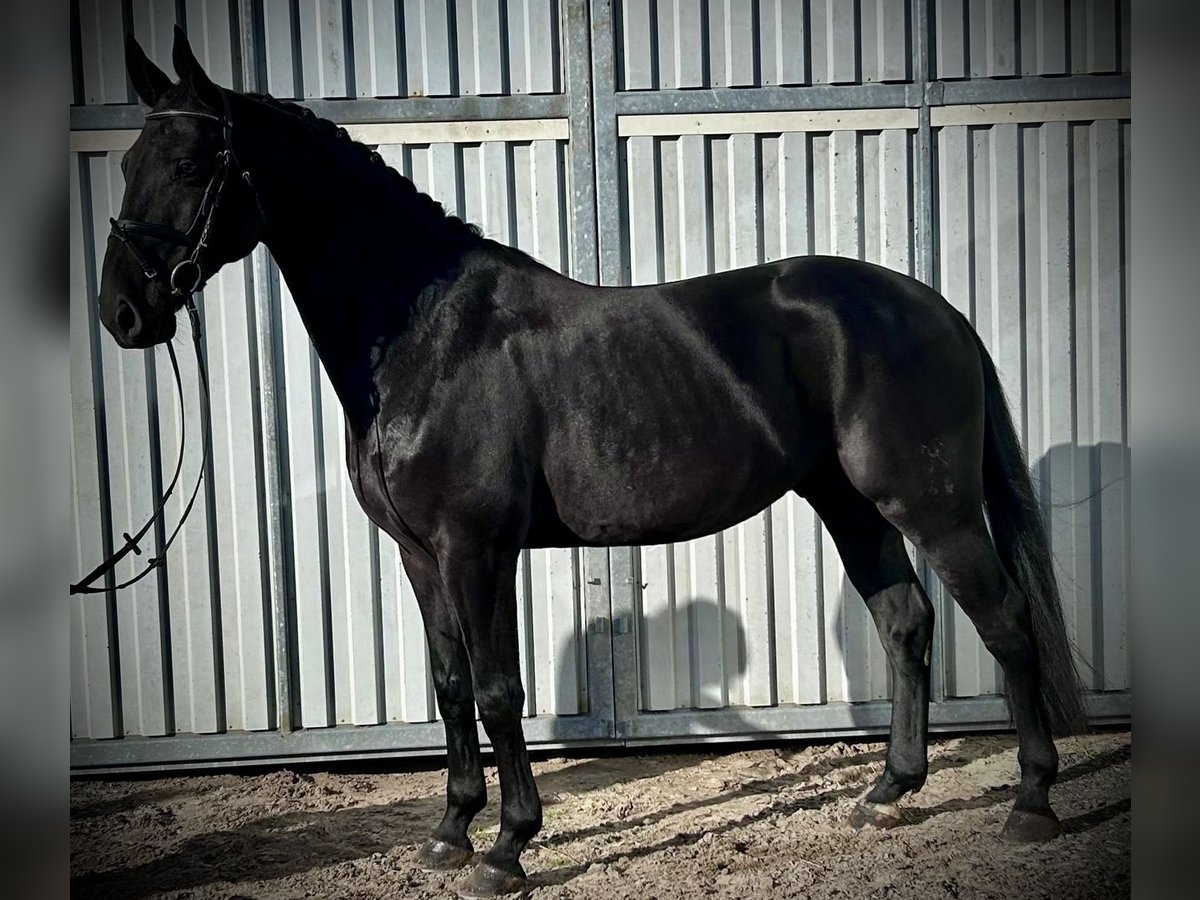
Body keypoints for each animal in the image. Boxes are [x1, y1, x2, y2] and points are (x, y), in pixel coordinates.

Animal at [96, 30, 1089, 900]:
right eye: (126, 162)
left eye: (193, 165)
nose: (122, 313)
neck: (425, 338)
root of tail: (937, 309)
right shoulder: (419, 556)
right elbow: (451, 687)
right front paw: (450, 834)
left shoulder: (476, 550)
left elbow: (500, 692)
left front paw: (507, 849)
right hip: (850, 505)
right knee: (906, 623)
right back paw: (888, 794)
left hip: (931, 504)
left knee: (1004, 622)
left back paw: (1033, 804)